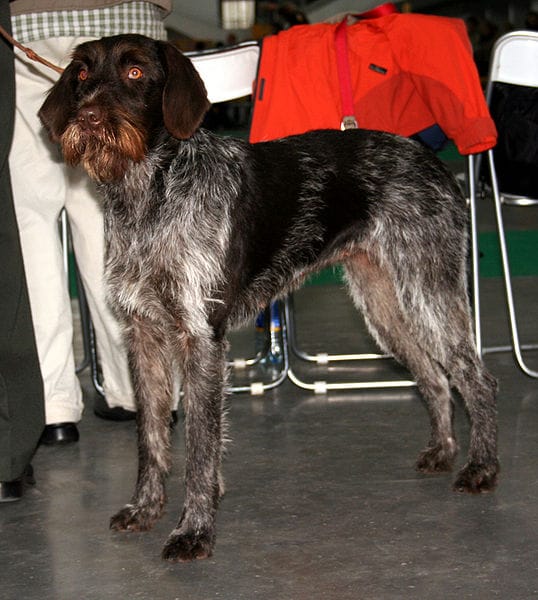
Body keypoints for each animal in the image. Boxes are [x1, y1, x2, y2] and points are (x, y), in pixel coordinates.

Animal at [38, 34, 498, 564]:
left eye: (135, 73)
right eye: (82, 75)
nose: (89, 117)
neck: (147, 194)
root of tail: (432, 160)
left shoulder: (200, 338)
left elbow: (199, 443)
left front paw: (194, 530)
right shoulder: (143, 334)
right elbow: (150, 437)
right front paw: (145, 508)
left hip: (427, 291)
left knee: (476, 377)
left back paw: (482, 468)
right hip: (385, 308)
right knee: (434, 377)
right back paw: (443, 451)